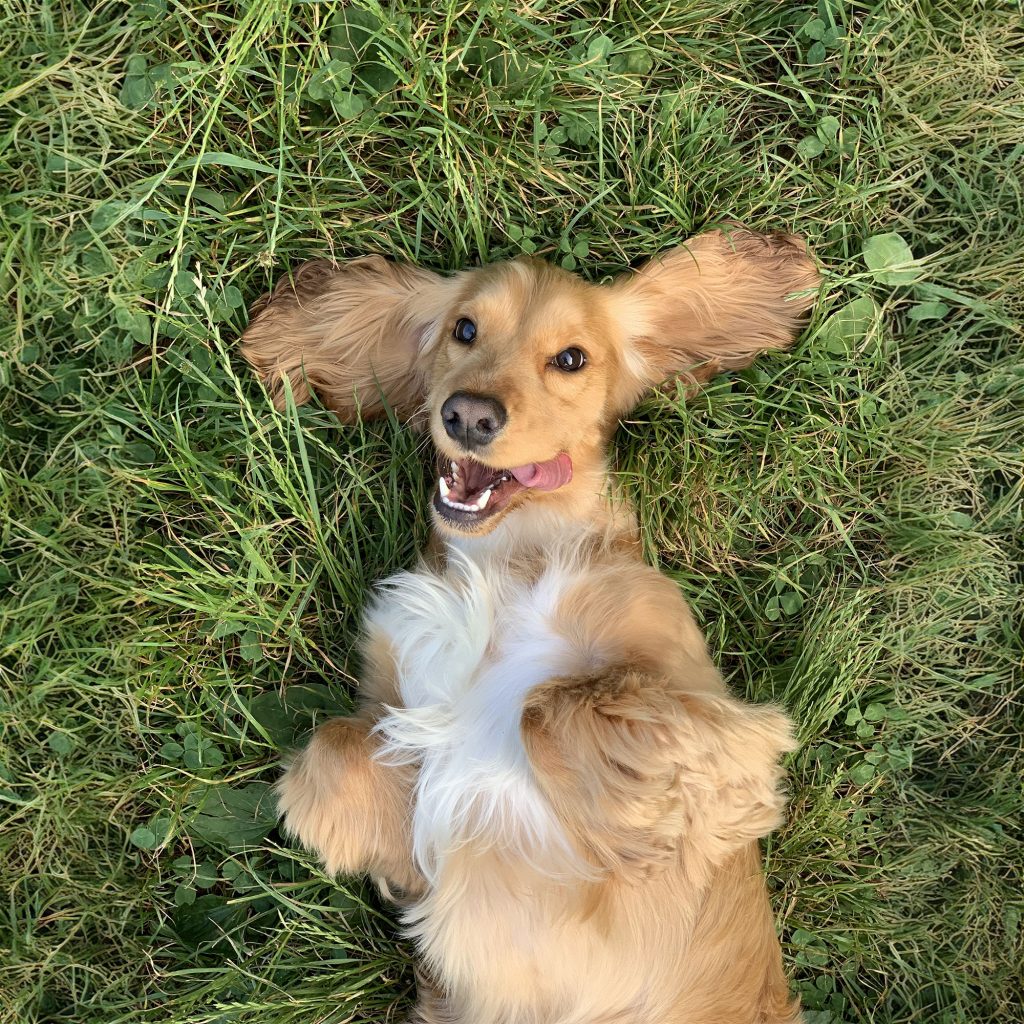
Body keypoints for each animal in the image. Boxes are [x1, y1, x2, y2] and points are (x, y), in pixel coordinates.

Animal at [237, 226, 815, 1024]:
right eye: (464, 330)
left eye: (570, 359)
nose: (468, 415)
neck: (507, 558)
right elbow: (333, 747)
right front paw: (384, 844)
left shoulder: (724, 726)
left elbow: (548, 704)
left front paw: (631, 825)